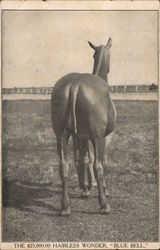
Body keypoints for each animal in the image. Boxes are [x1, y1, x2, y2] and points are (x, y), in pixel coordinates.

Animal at [51, 38, 116, 216]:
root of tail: (74, 85)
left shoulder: (81, 137)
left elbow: (83, 158)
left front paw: (85, 188)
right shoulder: (104, 137)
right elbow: (101, 161)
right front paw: (103, 189)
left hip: (61, 135)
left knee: (64, 166)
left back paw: (65, 205)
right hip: (97, 136)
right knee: (98, 165)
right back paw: (104, 204)